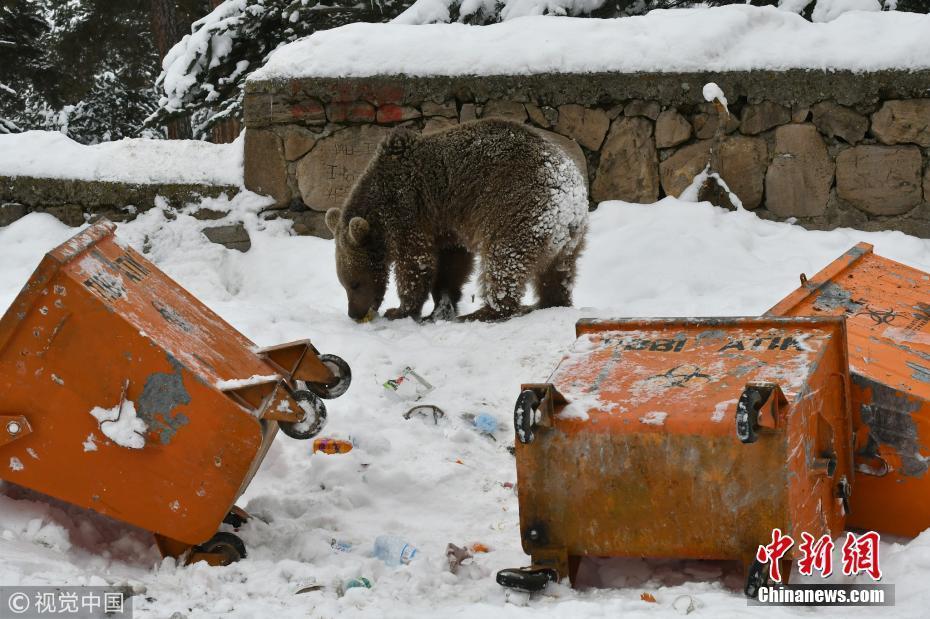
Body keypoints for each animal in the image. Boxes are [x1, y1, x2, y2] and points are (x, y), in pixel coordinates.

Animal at [324, 117, 588, 324]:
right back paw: (547, 302)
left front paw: (400, 310)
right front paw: (440, 306)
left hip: (518, 208)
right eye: (343, 284)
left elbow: (415, 263)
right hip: (569, 241)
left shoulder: (409, 210)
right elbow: (452, 265)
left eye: (355, 283)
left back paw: (485, 312)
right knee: (557, 274)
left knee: (503, 261)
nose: (354, 313)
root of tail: (570, 197)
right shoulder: (446, 224)